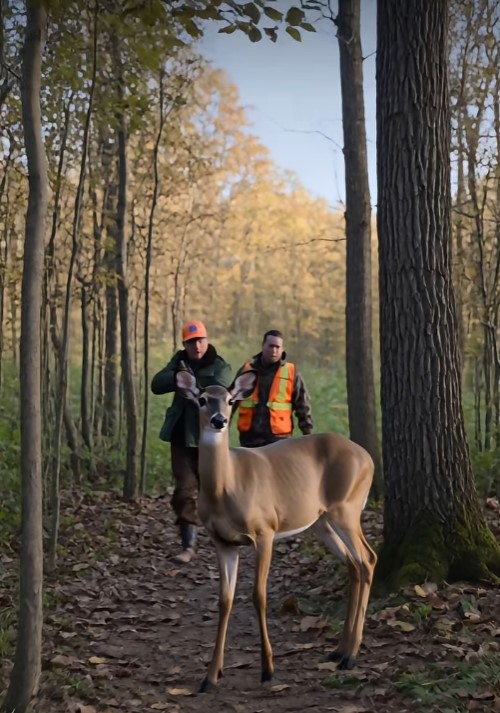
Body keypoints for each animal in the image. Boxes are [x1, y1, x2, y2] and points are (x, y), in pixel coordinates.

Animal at [175, 368, 377, 692]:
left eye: (230, 400)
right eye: (203, 399)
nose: (219, 420)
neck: (225, 487)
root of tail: (369, 458)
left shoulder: (264, 530)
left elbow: (258, 595)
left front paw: (268, 669)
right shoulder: (222, 541)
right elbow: (225, 600)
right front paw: (211, 676)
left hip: (347, 507)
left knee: (368, 558)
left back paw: (351, 656)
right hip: (322, 522)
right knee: (354, 564)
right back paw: (339, 651)